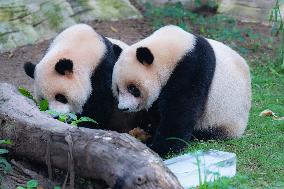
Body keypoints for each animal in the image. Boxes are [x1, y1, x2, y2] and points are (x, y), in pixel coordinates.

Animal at [112, 24, 252, 157]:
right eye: (118, 89)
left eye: (132, 88)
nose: (123, 108)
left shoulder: (193, 66)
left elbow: (181, 108)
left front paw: (160, 148)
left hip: (223, 117)